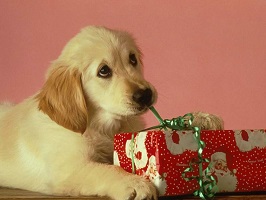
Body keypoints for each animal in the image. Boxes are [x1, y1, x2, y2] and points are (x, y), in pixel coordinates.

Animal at [0, 26, 157, 200]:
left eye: (133, 59)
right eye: (104, 71)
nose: (145, 95)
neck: (101, 126)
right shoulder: (71, 169)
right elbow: (107, 169)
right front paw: (135, 183)